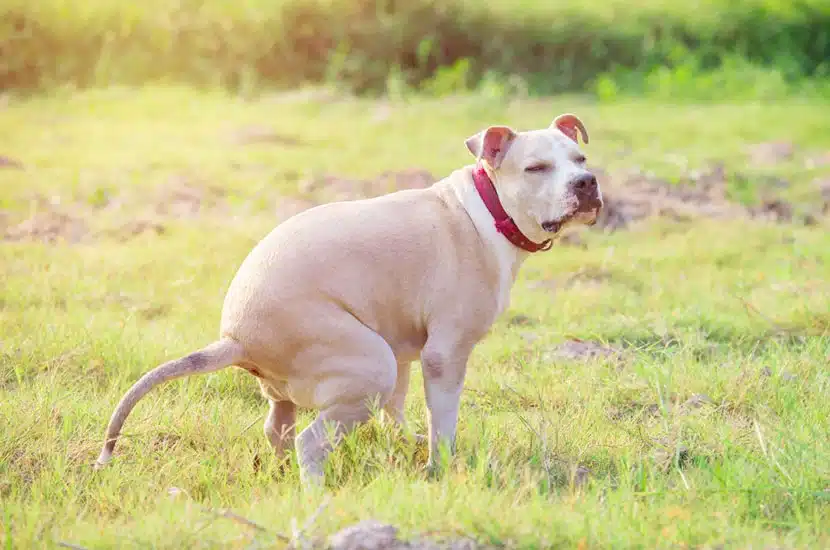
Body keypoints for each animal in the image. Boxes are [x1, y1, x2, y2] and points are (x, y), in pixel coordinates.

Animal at [96, 114, 604, 486]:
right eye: (536, 168)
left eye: (581, 158)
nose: (587, 183)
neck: (488, 209)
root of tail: (234, 338)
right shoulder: (445, 355)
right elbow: (443, 419)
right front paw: (439, 468)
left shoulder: (405, 349)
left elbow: (397, 409)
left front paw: (406, 445)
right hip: (368, 365)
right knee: (310, 441)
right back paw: (317, 495)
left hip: (320, 378)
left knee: (278, 429)